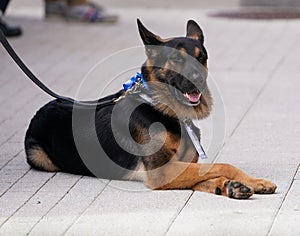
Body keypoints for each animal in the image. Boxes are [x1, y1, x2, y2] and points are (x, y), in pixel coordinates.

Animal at [24, 18, 278, 199]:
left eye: (201, 57)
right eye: (177, 59)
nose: (198, 80)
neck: (164, 108)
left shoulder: (182, 167)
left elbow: (206, 174)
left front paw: (233, 185)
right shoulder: (162, 172)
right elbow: (223, 164)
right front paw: (248, 181)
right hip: (39, 156)